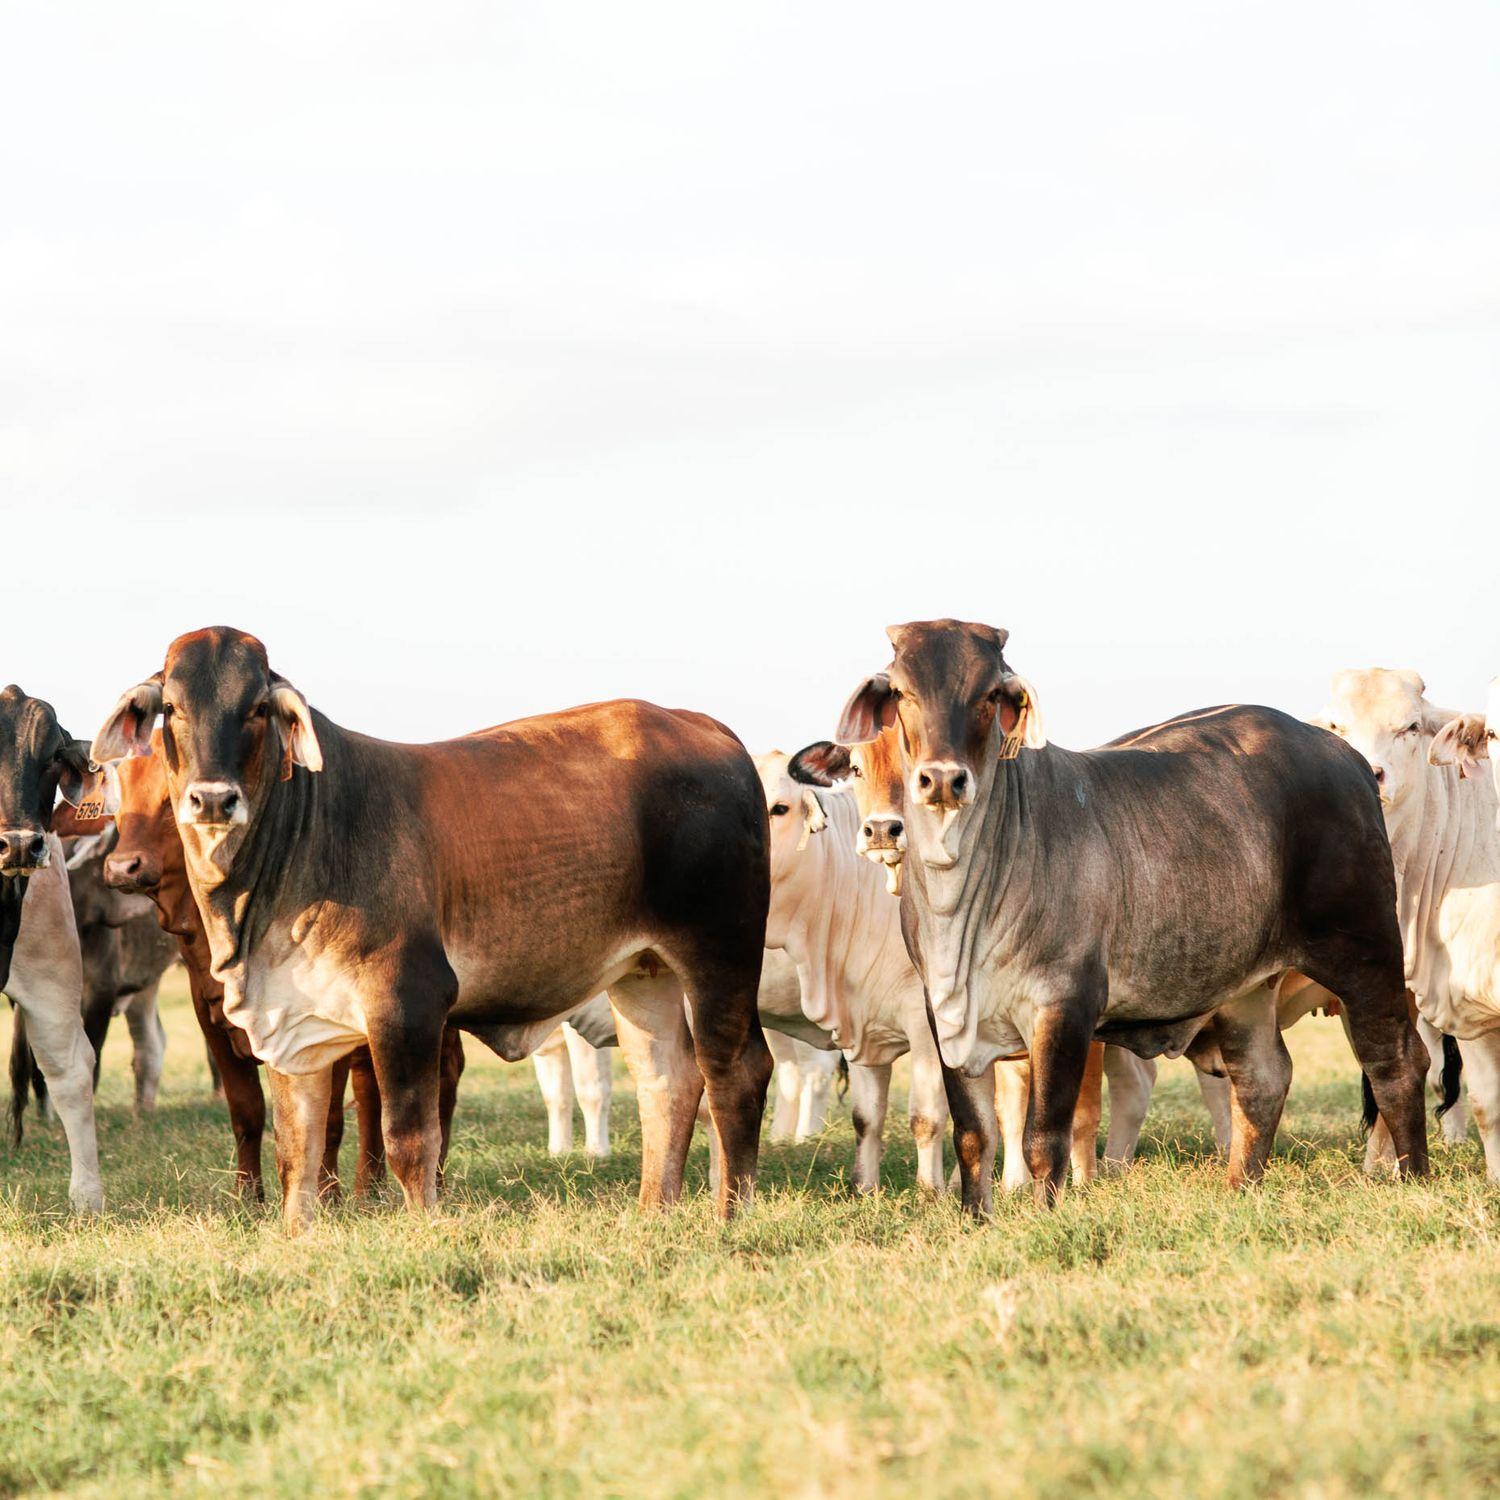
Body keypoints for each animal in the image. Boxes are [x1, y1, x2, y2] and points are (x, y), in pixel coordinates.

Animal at [92, 628, 772, 1232]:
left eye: (258, 707)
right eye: (172, 708)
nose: (212, 800)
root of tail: (706, 728)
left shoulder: (408, 1002)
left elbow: (409, 1140)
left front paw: (423, 1228)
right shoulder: (289, 1021)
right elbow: (297, 1148)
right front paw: (295, 1232)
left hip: (721, 954)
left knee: (736, 1071)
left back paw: (726, 1218)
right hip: (644, 972)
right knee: (667, 1081)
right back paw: (654, 1212)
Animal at [820, 620, 1428, 1212]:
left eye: (990, 693)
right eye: (902, 691)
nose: (944, 779)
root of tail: (1345, 755)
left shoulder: (1064, 1006)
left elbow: (1045, 1137)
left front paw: (1044, 1214)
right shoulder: (944, 1015)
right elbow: (974, 1136)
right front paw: (975, 1216)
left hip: (1367, 953)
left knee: (1397, 1063)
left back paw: (1413, 1178)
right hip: (1247, 986)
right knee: (1263, 1077)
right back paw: (1240, 1188)